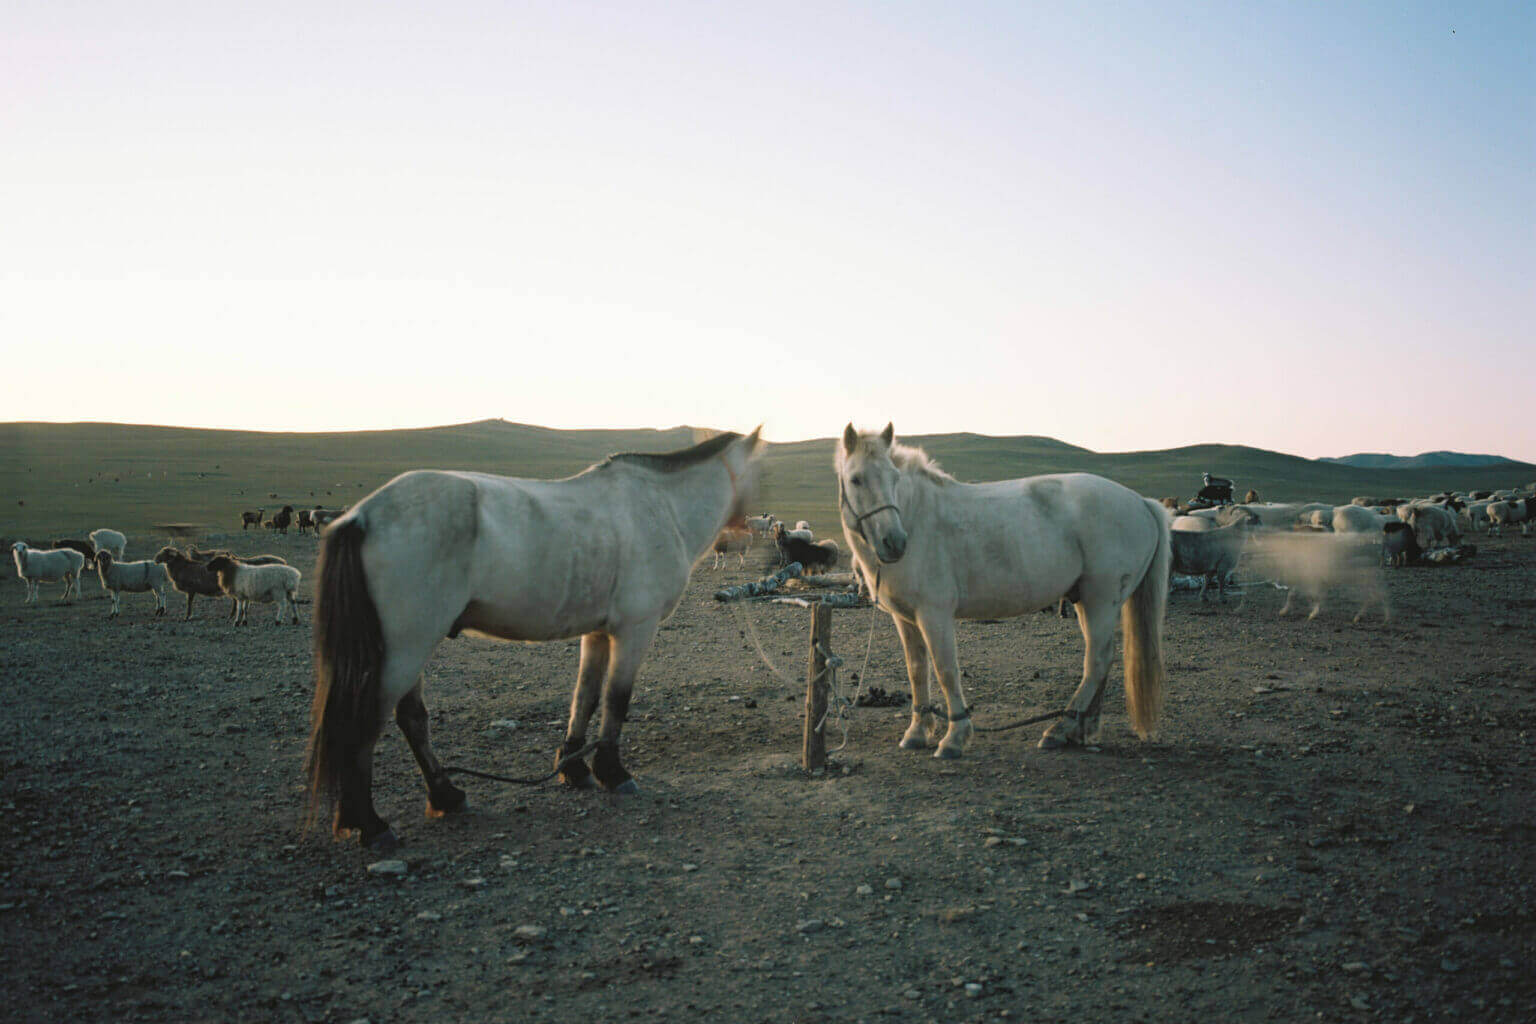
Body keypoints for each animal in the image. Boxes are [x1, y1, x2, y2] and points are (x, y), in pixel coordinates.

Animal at [308, 426, 764, 847]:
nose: (745, 529)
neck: (661, 506)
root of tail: (361, 516)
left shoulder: (599, 633)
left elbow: (585, 697)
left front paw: (575, 768)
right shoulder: (636, 629)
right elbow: (616, 700)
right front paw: (613, 773)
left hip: (404, 649)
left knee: (411, 719)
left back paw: (446, 796)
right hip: (406, 647)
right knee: (368, 724)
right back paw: (371, 824)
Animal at [835, 420, 1167, 758]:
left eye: (895, 477)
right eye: (856, 479)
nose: (894, 542)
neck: (918, 518)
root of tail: (1141, 502)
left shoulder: (934, 615)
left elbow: (945, 670)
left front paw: (954, 737)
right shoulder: (905, 618)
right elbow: (917, 670)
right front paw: (917, 732)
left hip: (1101, 601)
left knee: (1097, 661)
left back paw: (1059, 730)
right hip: (1085, 601)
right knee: (1102, 659)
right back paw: (1080, 729)